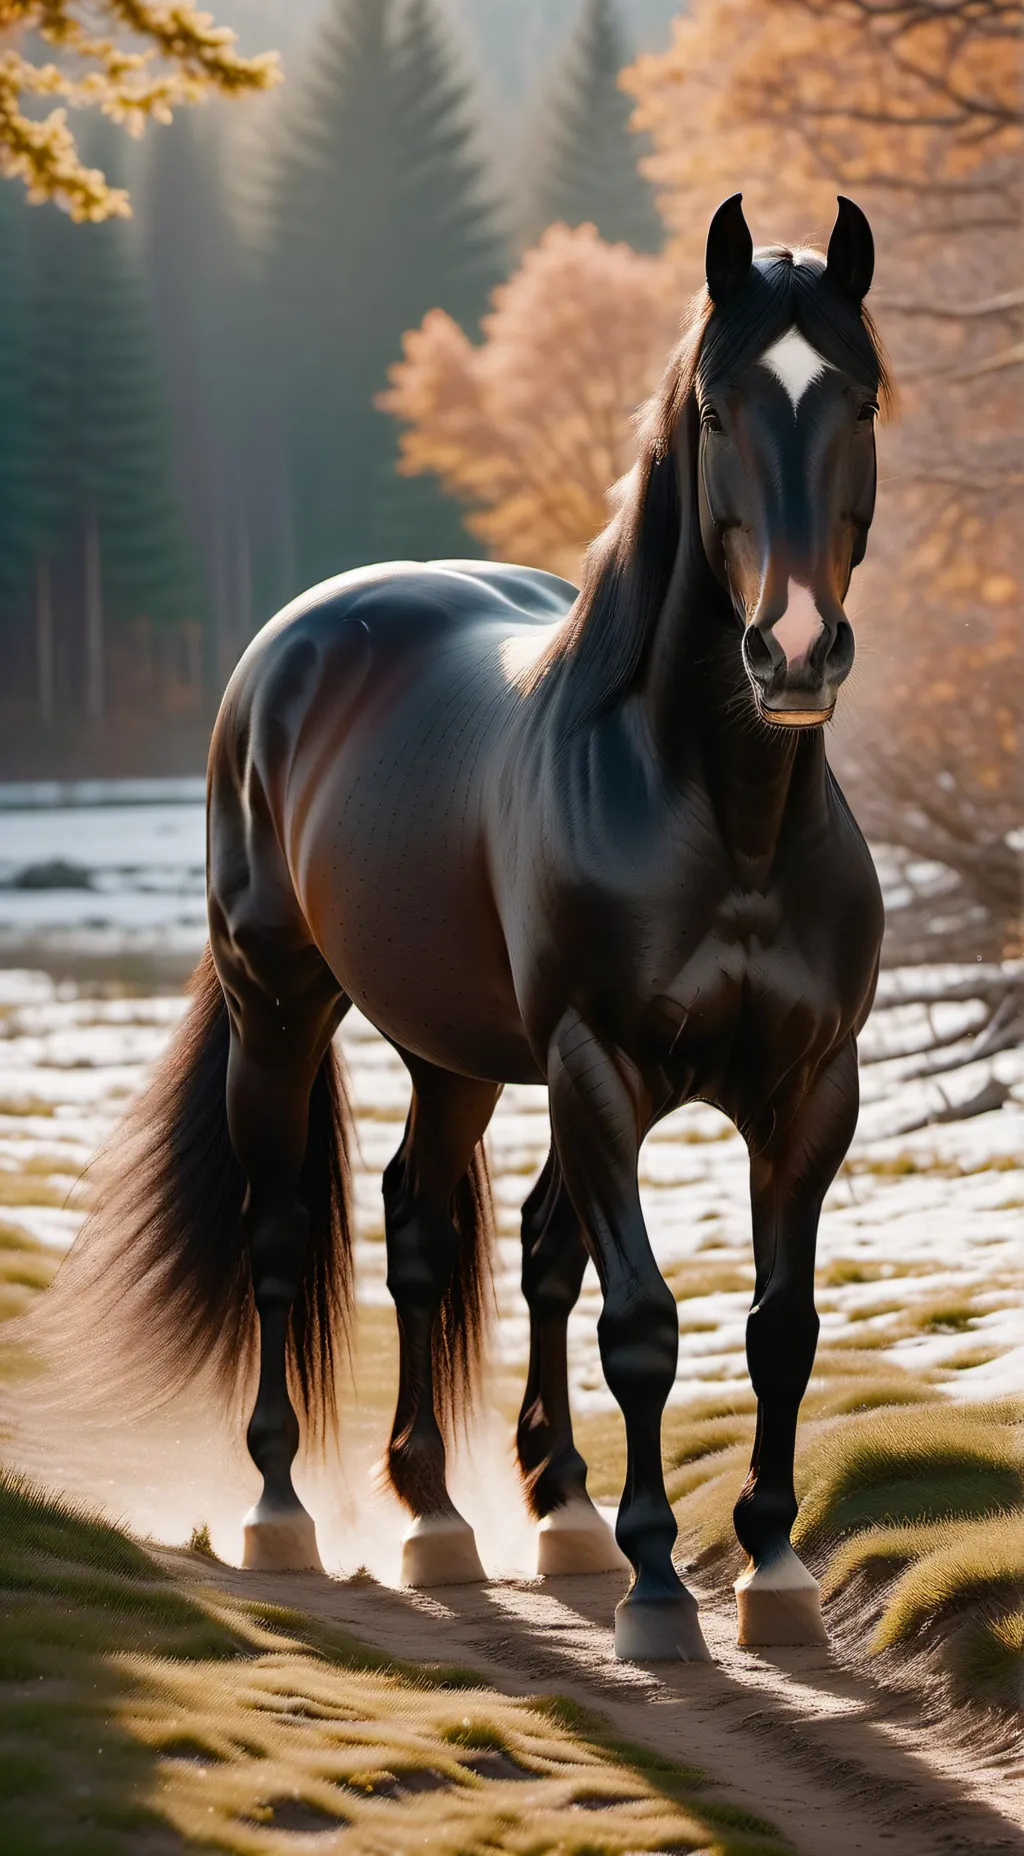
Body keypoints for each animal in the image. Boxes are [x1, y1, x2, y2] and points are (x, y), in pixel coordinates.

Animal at [61, 193, 890, 1663]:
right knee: (287, 1233)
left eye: (856, 397)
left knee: (432, 1230)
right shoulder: (597, 1066)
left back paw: (475, 1515)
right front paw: (659, 1588)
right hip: (281, 1008)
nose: (792, 652)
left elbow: (776, 1325)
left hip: (455, 1054)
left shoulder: (808, 1086)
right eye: (720, 405)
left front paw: (774, 1572)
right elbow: (643, 1322)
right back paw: (288, 1510)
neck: (724, 815)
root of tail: (294, 643)